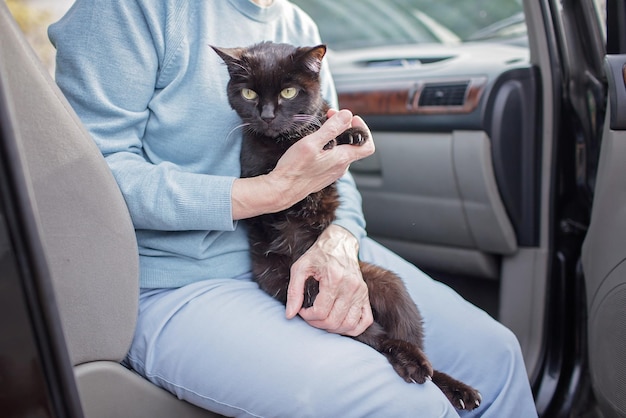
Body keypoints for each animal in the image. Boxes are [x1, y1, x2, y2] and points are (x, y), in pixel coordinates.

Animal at [212, 42, 480, 412]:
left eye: (288, 92)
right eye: (249, 94)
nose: (266, 115)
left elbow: (329, 120)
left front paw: (348, 132)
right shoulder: (256, 173)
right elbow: (280, 169)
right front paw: (308, 142)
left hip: (390, 287)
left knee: (403, 336)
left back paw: (450, 385)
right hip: (300, 290)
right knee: (378, 339)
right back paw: (413, 365)